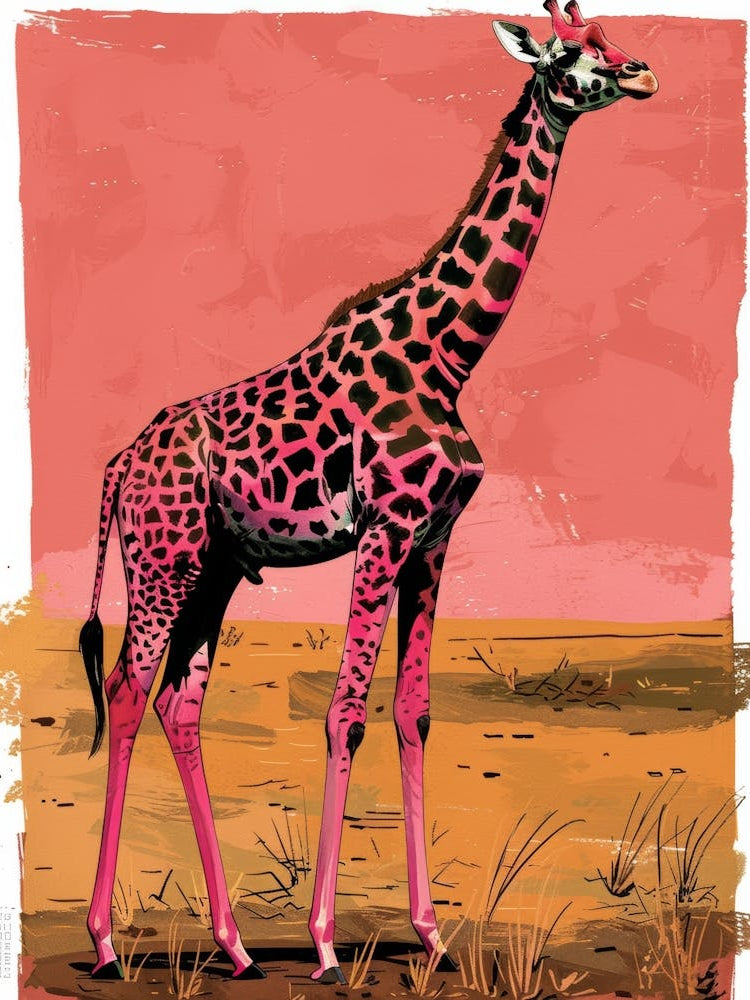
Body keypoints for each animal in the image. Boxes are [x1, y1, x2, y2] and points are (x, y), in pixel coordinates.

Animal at [80, 1, 657, 984]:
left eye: (612, 39)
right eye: (567, 55)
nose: (644, 73)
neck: (450, 351)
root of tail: (122, 465)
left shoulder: (434, 536)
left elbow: (413, 713)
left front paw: (430, 933)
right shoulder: (386, 524)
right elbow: (345, 711)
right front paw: (321, 940)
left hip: (213, 568)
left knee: (177, 705)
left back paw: (234, 945)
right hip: (160, 560)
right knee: (126, 689)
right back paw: (109, 942)